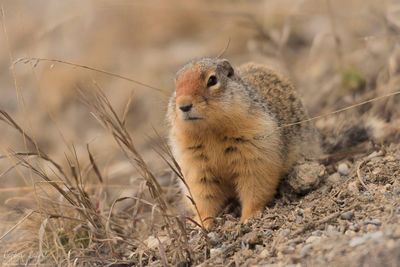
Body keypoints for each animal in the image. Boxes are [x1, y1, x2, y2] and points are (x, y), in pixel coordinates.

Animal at [166, 57, 318, 229]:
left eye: (212, 80)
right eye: (176, 86)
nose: (184, 105)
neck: (210, 132)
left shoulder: (256, 145)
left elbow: (254, 183)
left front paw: (248, 217)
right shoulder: (192, 160)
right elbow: (202, 193)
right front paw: (202, 222)